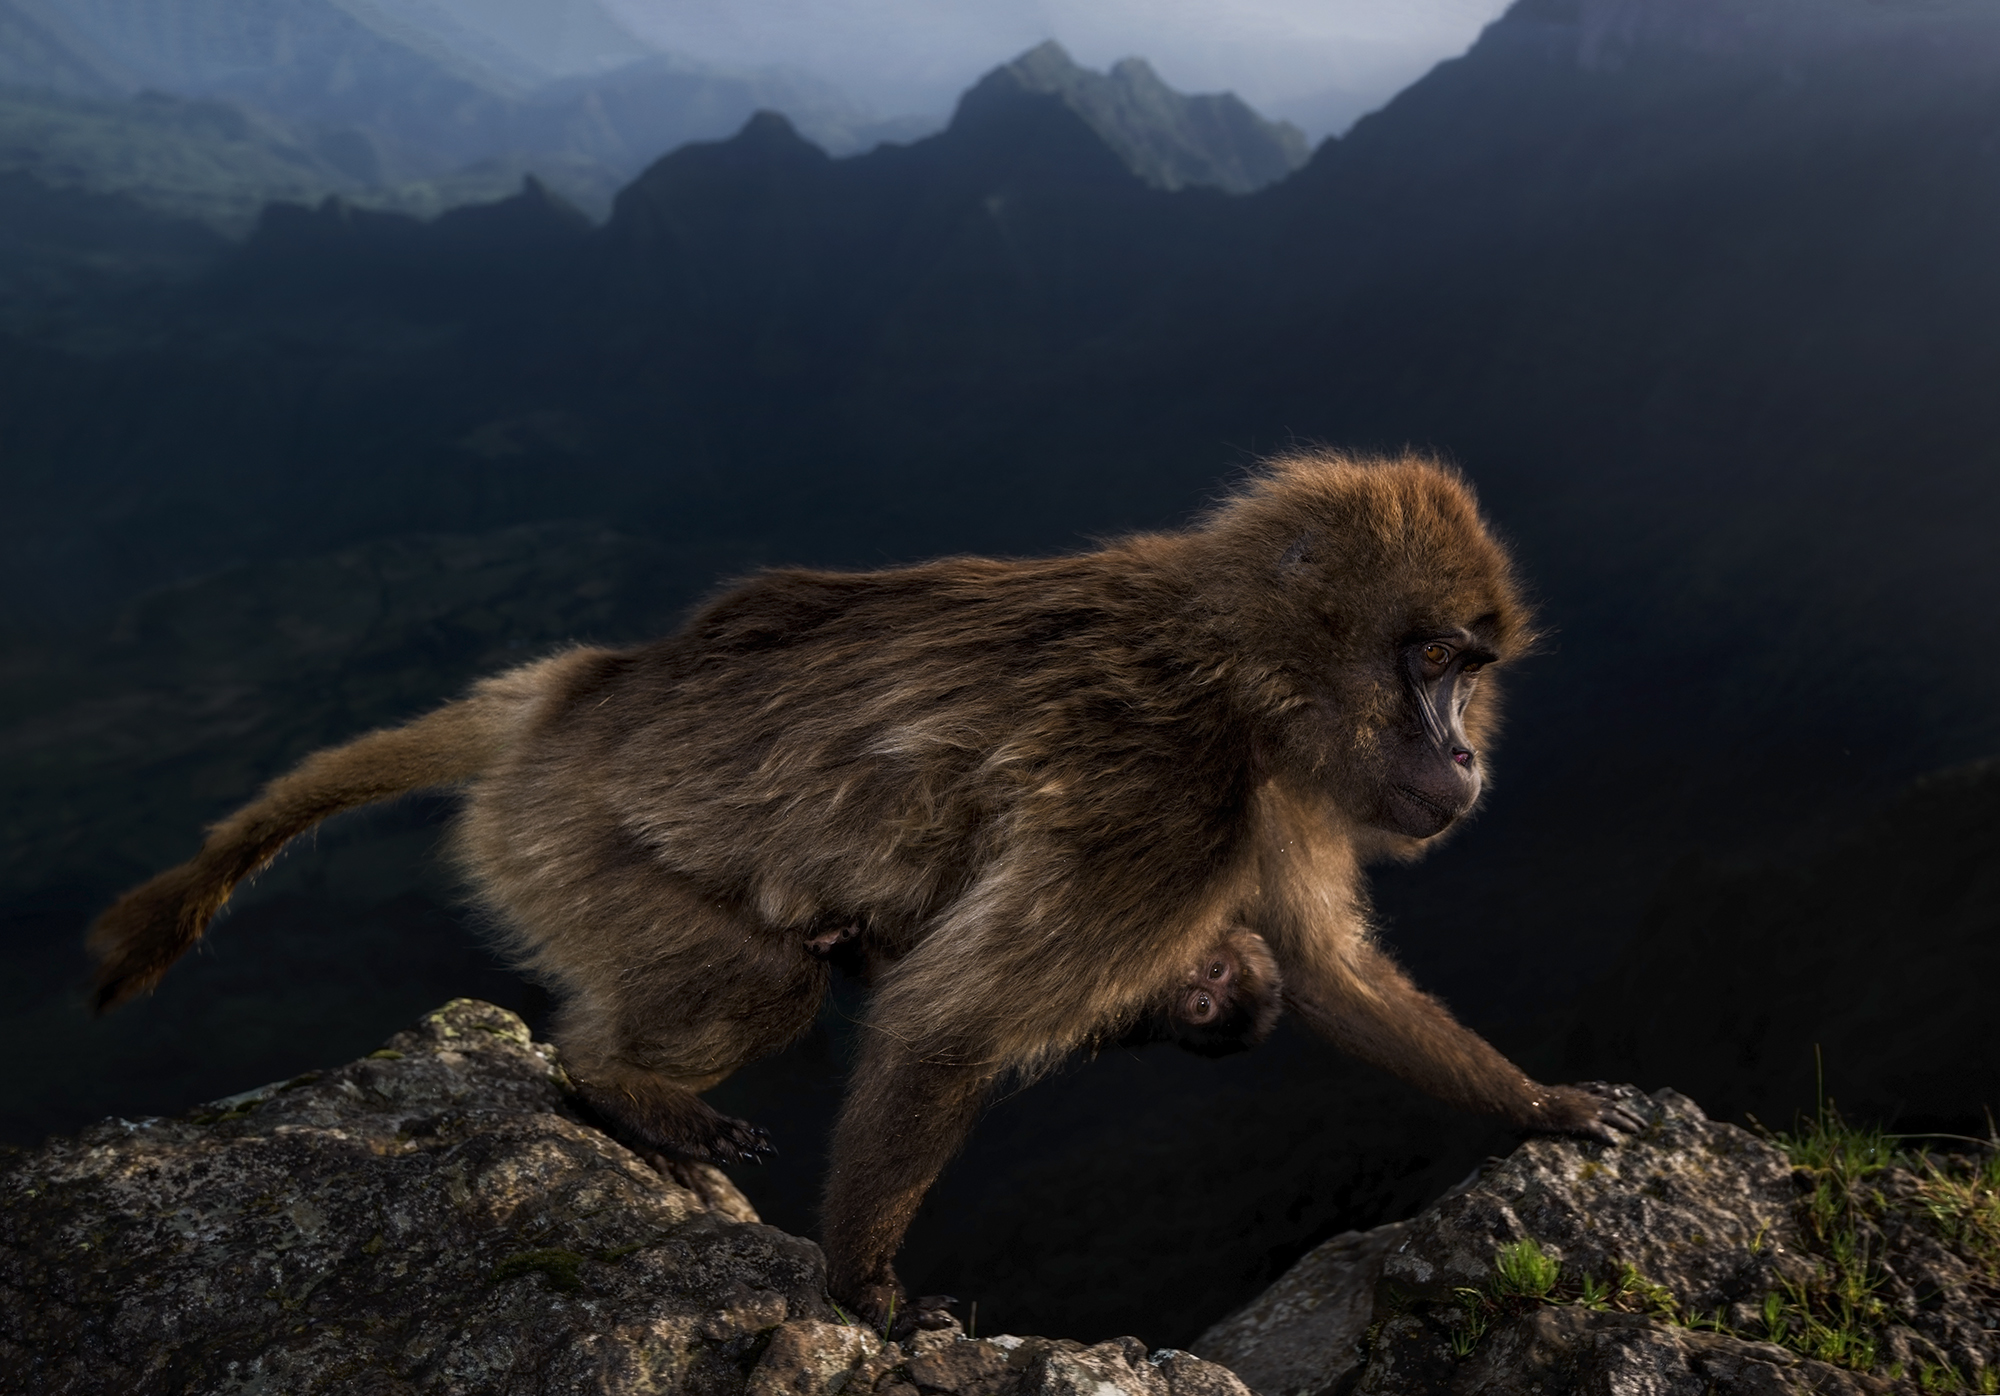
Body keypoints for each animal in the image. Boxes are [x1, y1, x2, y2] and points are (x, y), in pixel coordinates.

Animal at [90, 454, 1640, 1328]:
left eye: (1470, 671)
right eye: (1431, 663)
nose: (1463, 756)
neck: (1240, 673)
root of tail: (573, 695)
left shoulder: (1273, 797)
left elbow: (1326, 977)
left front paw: (1540, 1105)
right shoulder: (1166, 798)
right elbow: (946, 1028)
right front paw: (865, 1294)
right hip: (558, 844)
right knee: (757, 978)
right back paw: (612, 1080)